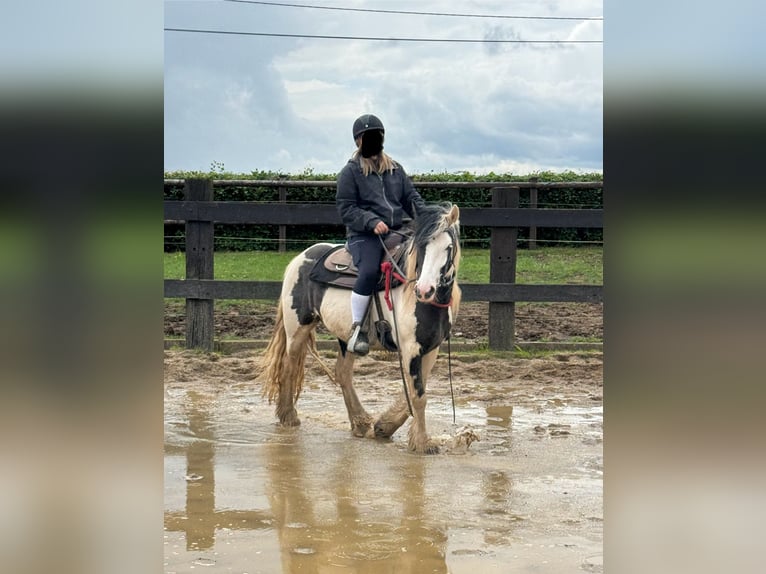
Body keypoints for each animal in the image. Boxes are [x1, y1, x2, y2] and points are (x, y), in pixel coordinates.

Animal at [260, 202, 462, 454]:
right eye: (422, 246)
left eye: (449, 247)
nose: (425, 290)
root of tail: (301, 257)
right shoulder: (410, 349)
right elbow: (418, 396)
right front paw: (423, 443)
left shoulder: (430, 350)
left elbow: (414, 392)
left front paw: (384, 426)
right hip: (297, 328)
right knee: (289, 366)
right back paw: (289, 417)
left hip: (347, 338)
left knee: (342, 373)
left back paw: (360, 422)